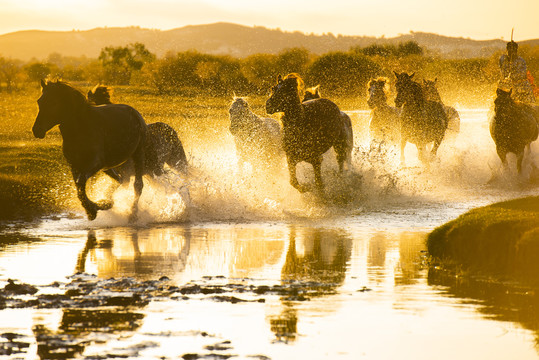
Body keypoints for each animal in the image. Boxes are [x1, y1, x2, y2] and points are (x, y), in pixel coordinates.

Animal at [31, 81, 146, 221]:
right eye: (39, 101)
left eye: (53, 102)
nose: (37, 130)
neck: (81, 129)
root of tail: (135, 112)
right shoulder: (75, 165)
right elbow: (79, 187)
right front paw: (96, 207)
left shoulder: (94, 163)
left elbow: (81, 183)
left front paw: (93, 209)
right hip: (108, 167)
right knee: (120, 179)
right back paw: (108, 202)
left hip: (138, 155)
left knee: (137, 185)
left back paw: (132, 215)